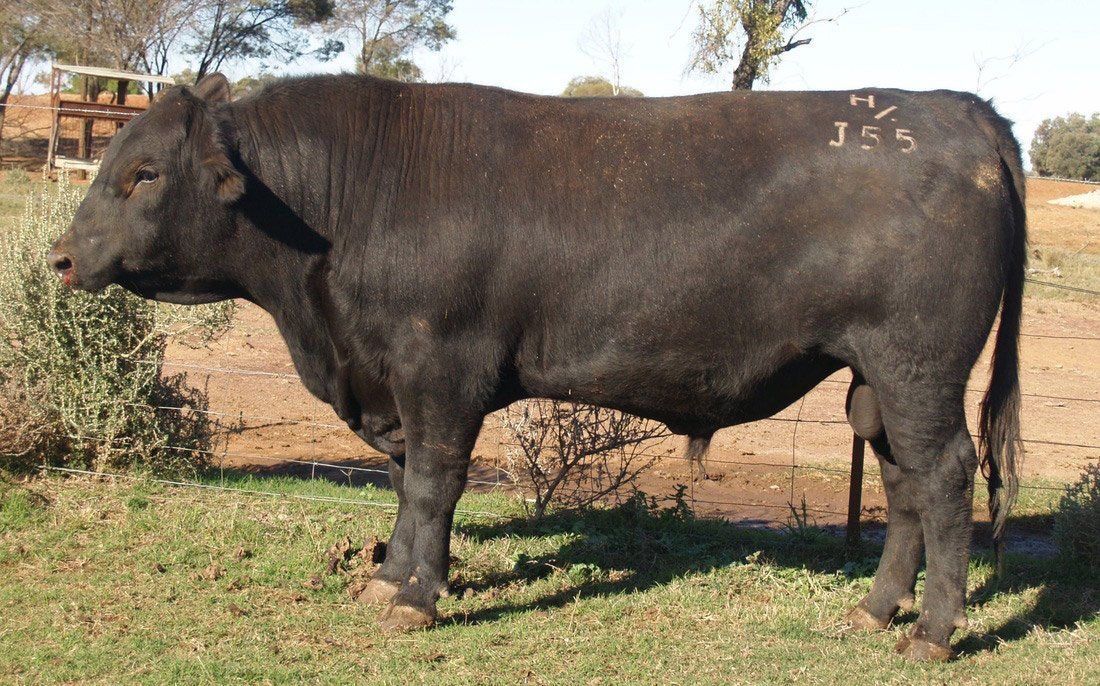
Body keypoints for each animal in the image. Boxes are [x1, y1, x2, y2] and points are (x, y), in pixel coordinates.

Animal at [47, 73, 1025, 661]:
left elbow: (434, 480)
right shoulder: (398, 380)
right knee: (903, 486)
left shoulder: (441, 368)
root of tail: (954, 107)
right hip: (876, 383)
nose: (58, 257)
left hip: (917, 367)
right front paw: (390, 578)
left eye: (142, 173)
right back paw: (873, 610)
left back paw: (932, 632)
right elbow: (408, 485)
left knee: (944, 476)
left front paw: (416, 597)